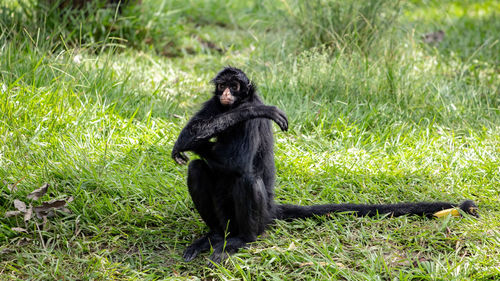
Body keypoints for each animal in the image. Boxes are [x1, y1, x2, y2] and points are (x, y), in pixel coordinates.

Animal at [171, 66, 476, 266]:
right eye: (221, 86)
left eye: (234, 87)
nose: (226, 94)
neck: (232, 106)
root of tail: (270, 208)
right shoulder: (214, 105)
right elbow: (191, 135)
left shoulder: (248, 113)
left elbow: (239, 160)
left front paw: (254, 110)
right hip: (227, 217)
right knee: (197, 168)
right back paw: (214, 236)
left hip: (259, 216)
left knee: (245, 177)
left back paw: (242, 240)